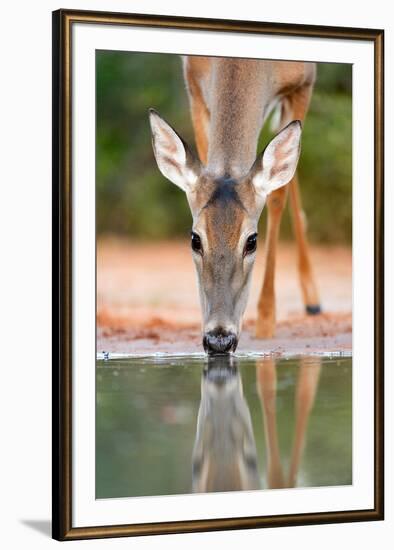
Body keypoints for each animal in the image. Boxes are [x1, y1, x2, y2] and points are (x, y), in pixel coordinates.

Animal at [149, 57, 320, 358]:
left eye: (252, 241)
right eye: (195, 239)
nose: (219, 340)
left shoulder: (303, 83)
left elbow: (278, 195)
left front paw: (266, 321)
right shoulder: (193, 82)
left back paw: (312, 300)